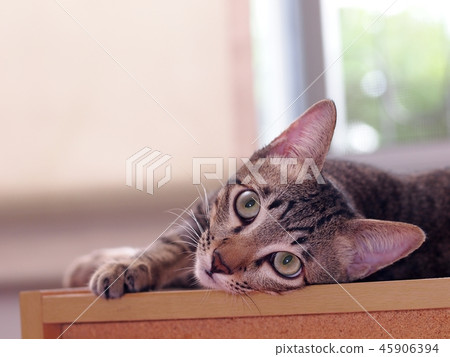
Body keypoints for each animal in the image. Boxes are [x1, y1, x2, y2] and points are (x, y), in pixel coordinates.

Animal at [64, 98, 450, 296]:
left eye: (286, 263)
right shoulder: (200, 216)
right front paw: (120, 265)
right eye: (248, 205)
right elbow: (169, 243)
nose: (218, 263)